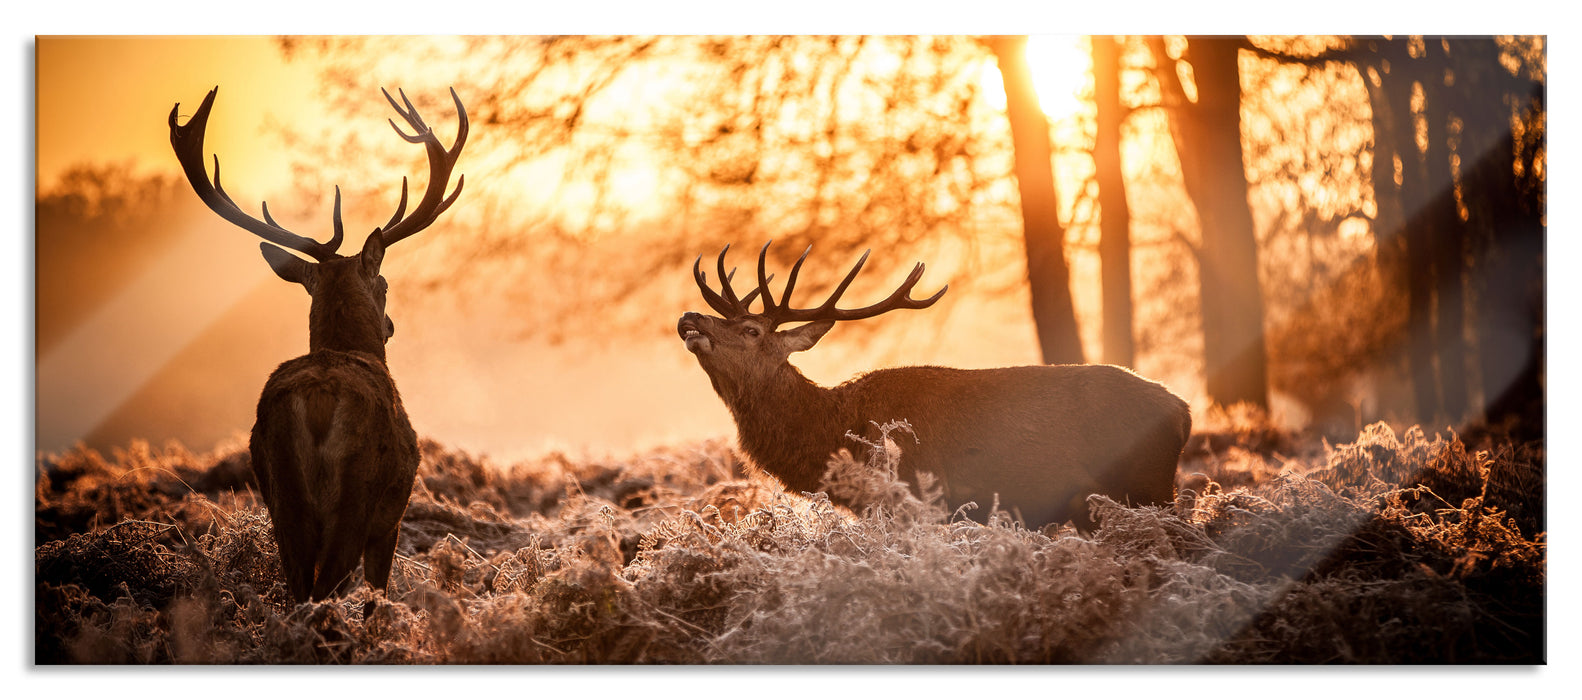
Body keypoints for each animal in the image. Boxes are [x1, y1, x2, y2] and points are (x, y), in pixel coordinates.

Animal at [174, 86, 468, 601]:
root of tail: (317, 400)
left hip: (281, 494)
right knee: (325, 587)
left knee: (298, 588)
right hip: (357, 493)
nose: (391, 325)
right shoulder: (391, 518)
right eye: (385, 284)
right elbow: (376, 596)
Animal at [677, 242, 1189, 528]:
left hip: (1146, 487)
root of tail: (1183, 412)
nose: (689, 317)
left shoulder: (914, 500)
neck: (834, 432)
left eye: (751, 330)